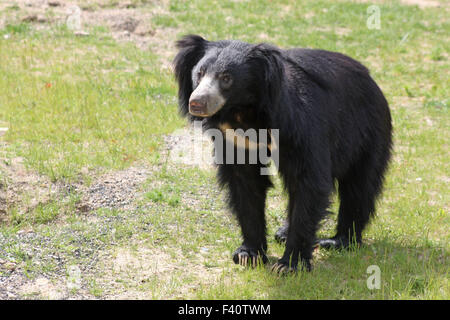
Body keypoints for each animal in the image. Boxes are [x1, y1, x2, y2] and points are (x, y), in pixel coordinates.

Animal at [174, 35, 392, 272]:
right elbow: (246, 183)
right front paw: (249, 254)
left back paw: (338, 241)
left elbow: (309, 182)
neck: (245, 113)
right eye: (200, 73)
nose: (197, 103)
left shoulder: (301, 126)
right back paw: (283, 233)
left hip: (366, 132)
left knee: (359, 185)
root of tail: (371, 79)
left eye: (226, 78)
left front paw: (289, 265)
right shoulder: (234, 139)